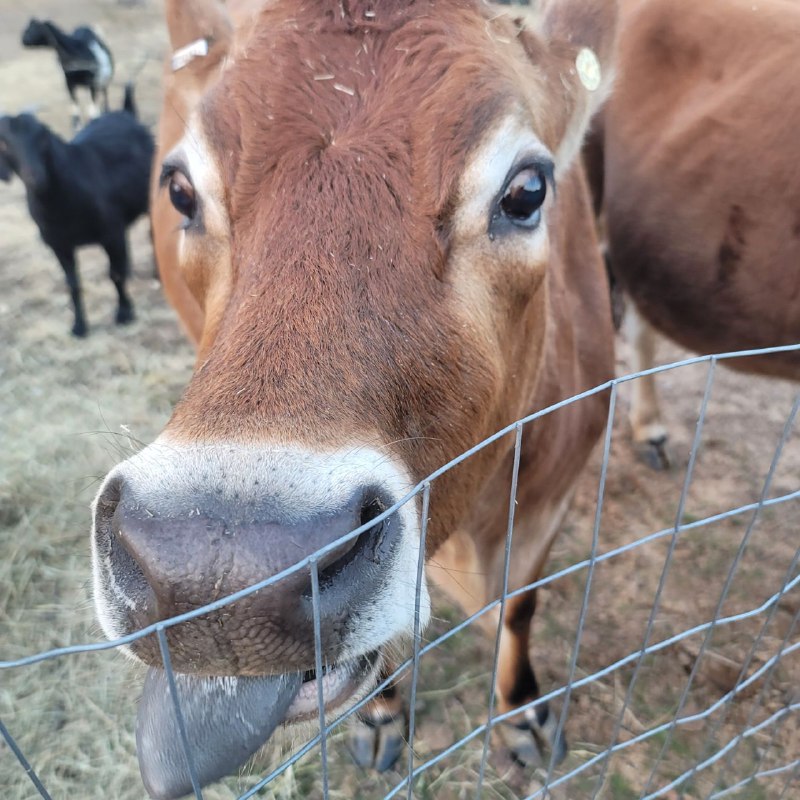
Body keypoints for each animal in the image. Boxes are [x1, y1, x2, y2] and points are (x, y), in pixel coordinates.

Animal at [0, 86, 153, 336]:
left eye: (42, 137)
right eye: (4, 144)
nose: (36, 177)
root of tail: (125, 113)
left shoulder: (110, 233)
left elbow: (114, 274)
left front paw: (124, 313)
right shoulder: (59, 245)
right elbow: (73, 284)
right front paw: (79, 326)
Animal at [95, 3, 620, 796]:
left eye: (527, 191)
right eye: (180, 190)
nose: (220, 571)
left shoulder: (553, 498)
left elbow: (520, 607)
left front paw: (522, 719)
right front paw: (382, 714)